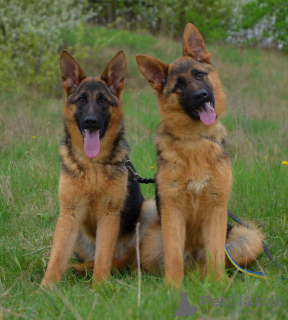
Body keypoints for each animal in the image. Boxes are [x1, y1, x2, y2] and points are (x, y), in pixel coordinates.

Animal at [40, 50, 156, 288]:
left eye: (102, 100)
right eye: (82, 100)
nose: (90, 121)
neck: (92, 165)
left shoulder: (109, 215)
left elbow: (104, 256)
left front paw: (101, 287)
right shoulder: (69, 213)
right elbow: (56, 256)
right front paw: (44, 288)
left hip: (149, 210)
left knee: (123, 261)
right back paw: (77, 268)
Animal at [137, 23, 264, 288]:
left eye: (199, 75)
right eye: (179, 85)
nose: (202, 96)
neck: (195, 141)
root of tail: (194, 269)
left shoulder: (216, 209)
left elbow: (215, 250)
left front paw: (218, 287)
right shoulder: (173, 211)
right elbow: (173, 254)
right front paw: (172, 289)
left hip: (247, 236)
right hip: (150, 242)